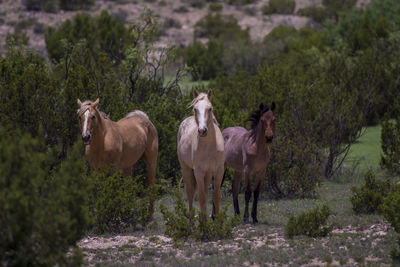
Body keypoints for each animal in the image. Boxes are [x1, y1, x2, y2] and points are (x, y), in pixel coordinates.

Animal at [177, 89, 225, 219]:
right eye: (195, 109)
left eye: (210, 108)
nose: (202, 130)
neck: (209, 147)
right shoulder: (198, 171)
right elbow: (202, 198)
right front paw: (204, 223)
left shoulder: (219, 170)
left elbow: (216, 197)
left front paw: (217, 221)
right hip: (186, 169)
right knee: (190, 194)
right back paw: (191, 219)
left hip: (207, 173)